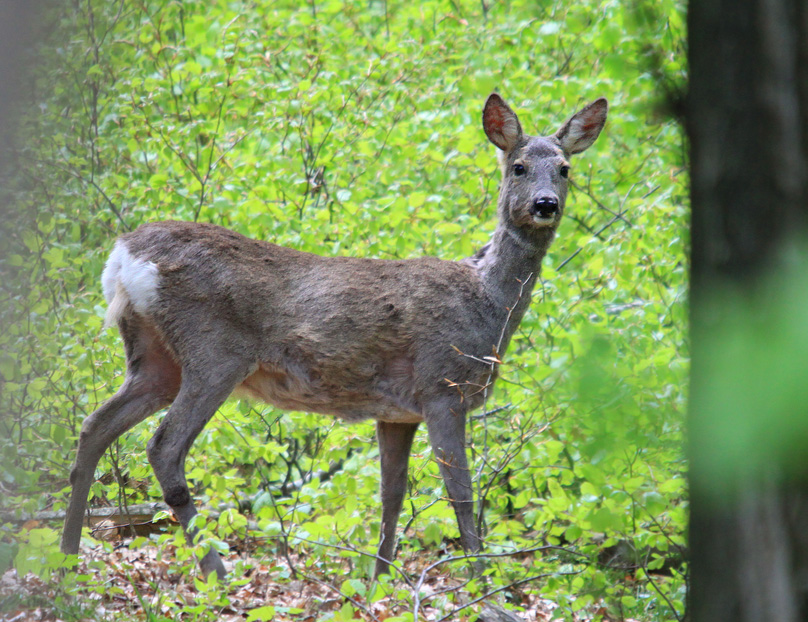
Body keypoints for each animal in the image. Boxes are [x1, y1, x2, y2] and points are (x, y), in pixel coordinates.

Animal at [61, 92, 608, 580]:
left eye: (565, 169)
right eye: (518, 166)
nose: (545, 204)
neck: (487, 303)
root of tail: (123, 257)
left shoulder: (398, 411)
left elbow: (392, 494)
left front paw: (379, 581)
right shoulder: (442, 387)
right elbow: (461, 491)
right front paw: (482, 584)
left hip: (155, 360)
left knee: (93, 426)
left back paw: (67, 560)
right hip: (213, 353)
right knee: (163, 448)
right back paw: (217, 574)